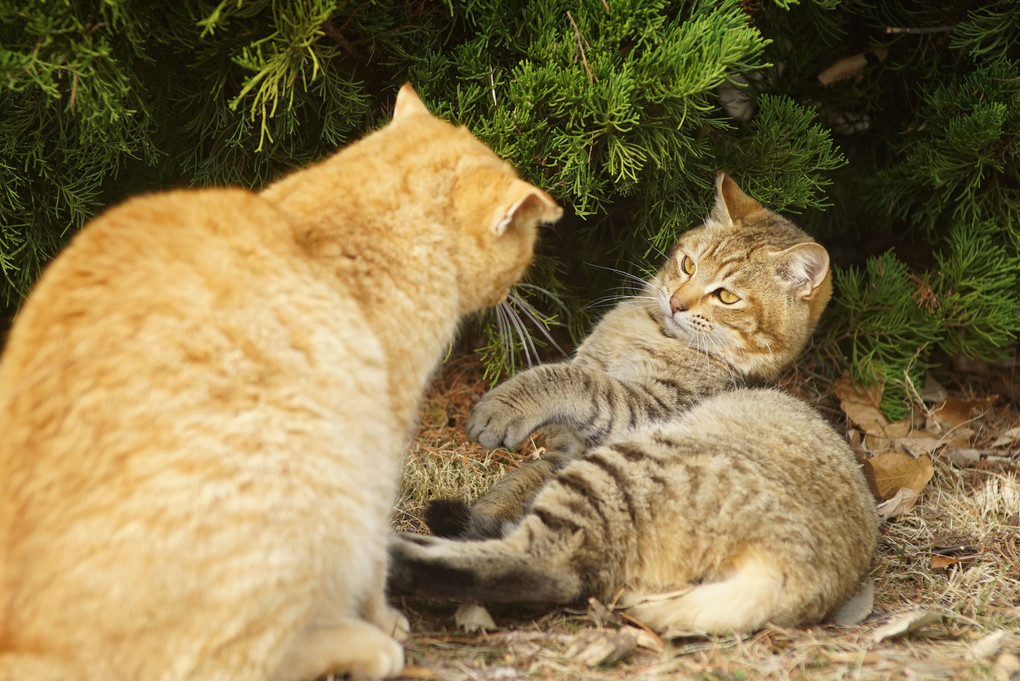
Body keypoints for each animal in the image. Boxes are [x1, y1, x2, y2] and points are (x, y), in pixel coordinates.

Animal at [385, 174, 881, 632]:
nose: (677, 303)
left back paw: (398, 556)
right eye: (687, 264)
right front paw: (491, 508)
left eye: (726, 295)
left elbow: (571, 378)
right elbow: (513, 488)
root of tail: (795, 581)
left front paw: (502, 407)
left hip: (623, 470)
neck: (651, 329)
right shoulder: (564, 452)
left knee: (549, 567)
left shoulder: (640, 407)